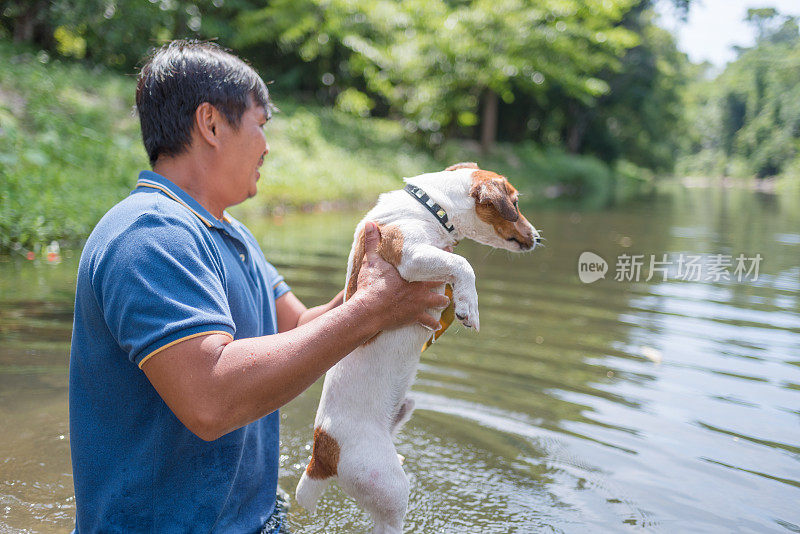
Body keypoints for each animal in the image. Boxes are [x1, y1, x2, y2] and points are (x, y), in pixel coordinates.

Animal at [292, 163, 536, 534]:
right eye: (516, 204)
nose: (536, 237)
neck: (431, 206)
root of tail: (321, 453)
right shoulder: (412, 253)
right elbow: (464, 265)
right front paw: (469, 305)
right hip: (388, 488)